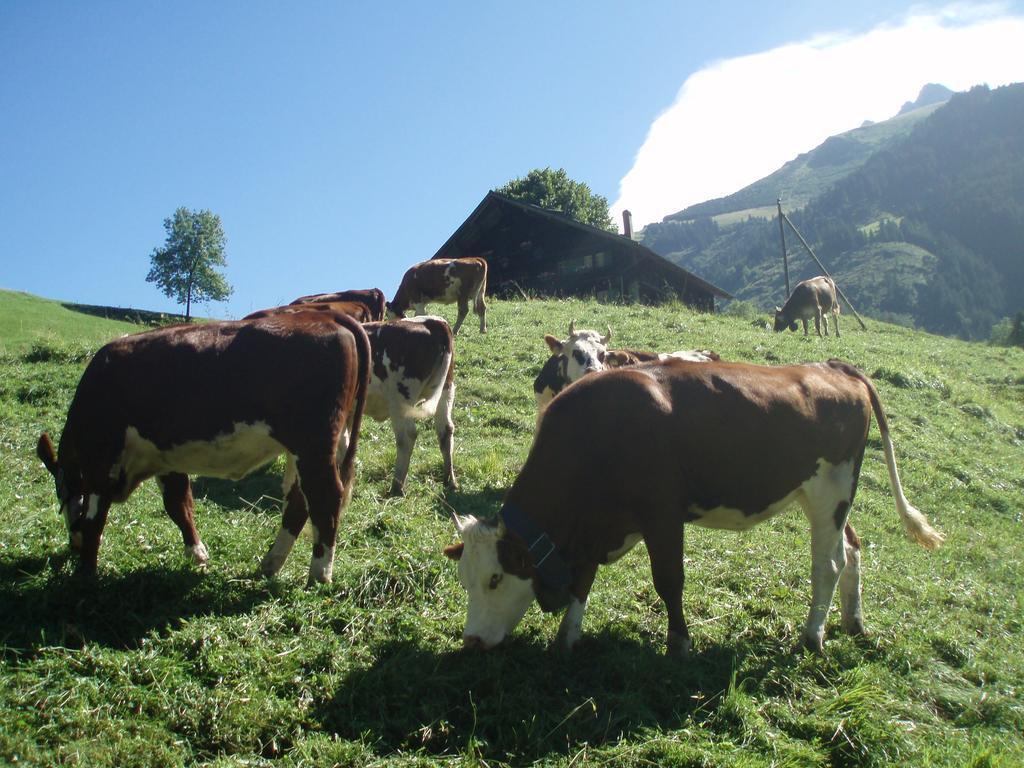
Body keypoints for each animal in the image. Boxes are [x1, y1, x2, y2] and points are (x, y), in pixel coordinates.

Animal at [35, 309, 372, 585]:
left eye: (61, 495)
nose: (72, 546)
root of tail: (326, 316)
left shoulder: (101, 458)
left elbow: (94, 516)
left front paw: (85, 572)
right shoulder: (165, 459)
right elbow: (179, 504)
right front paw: (197, 554)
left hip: (313, 444)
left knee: (325, 498)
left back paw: (319, 575)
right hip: (310, 448)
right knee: (299, 503)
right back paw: (270, 564)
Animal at [362, 315, 454, 495]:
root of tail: (432, 321)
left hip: (399, 400)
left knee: (407, 436)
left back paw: (397, 486)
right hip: (446, 390)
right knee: (445, 430)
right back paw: (450, 481)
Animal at [444, 360, 937, 655]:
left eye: (494, 578)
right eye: (464, 578)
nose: (471, 641)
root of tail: (830, 365)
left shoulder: (662, 514)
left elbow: (669, 581)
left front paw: (678, 642)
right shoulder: (597, 526)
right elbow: (583, 579)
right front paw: (569, 636)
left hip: (829, 492)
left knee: (829, 563)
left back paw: (812, 635)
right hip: (829, 497)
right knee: (851, 548)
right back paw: (853, 621)